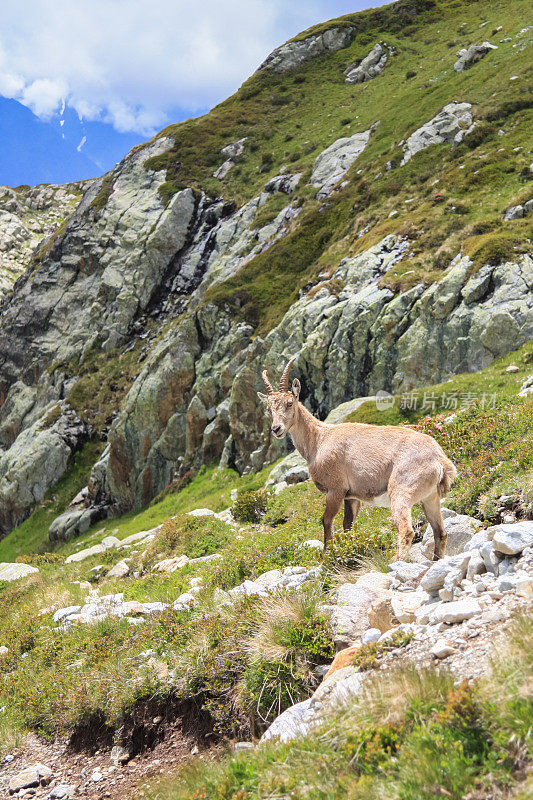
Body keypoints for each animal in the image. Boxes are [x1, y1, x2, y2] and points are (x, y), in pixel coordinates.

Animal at [256, 360, 456, 560]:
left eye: (289, 403)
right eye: (269, 408)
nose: (276, 429)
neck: (319, 440)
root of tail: (439, 461)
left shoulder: (335, 489)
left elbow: (326, 521)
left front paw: (328, 555)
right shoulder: (351, 496)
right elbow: (347, 526)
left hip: (401, 491)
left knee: (406, 531)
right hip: (430, 497)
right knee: (441, 532)